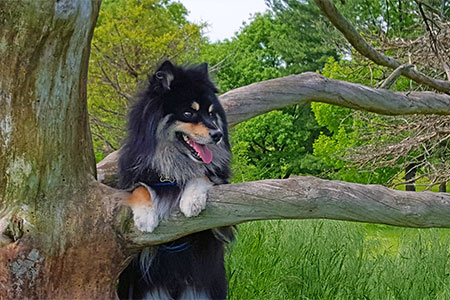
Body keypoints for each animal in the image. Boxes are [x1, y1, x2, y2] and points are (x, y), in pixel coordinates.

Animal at [118, 59, 234, 298]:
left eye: (211, 113)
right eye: (189, 113)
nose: (217, 134)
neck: (173, 169)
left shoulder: (221, 224)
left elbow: (202, 175)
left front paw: (192, 201)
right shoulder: (129, 182)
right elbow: (140, 189)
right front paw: (146, 217)